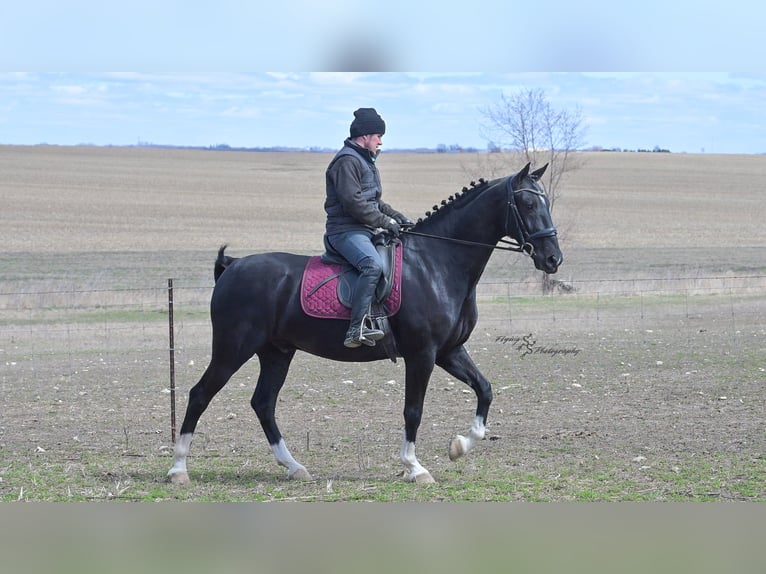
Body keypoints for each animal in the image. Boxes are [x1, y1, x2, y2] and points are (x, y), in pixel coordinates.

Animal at [167, 162, 562, 485]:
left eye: (545, 204)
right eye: (528, 205)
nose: (553, 259)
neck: (438, 262)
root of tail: (232, 267)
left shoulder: (450, 351)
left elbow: (485, 389)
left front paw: (459, 446)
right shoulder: (422, 354)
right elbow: (413, 410)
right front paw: (415, 467)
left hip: (276, 352)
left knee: (263, 403)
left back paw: (294, 467)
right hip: (233, 348)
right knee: (200, 395)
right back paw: (178, 469)